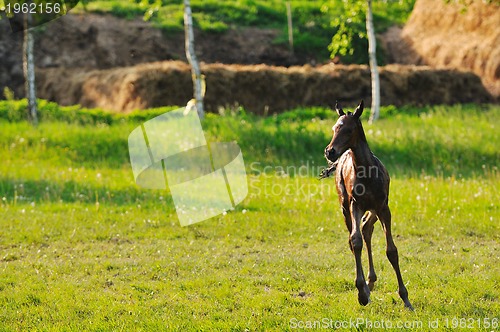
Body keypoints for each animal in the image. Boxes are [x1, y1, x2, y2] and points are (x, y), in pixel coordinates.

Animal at [324, 100, 414, 310]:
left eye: (348, 130)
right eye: (334, 128)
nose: (330, 151)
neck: (367, 173)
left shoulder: (383, 207)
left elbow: (392, 251)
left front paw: (405, 298)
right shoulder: (355, 205)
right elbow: (355, 241)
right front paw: (362, 293)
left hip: (374, 209)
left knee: (366, 228)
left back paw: (371, 281)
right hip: (345, 207)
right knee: (355, 237)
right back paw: (367, 286)